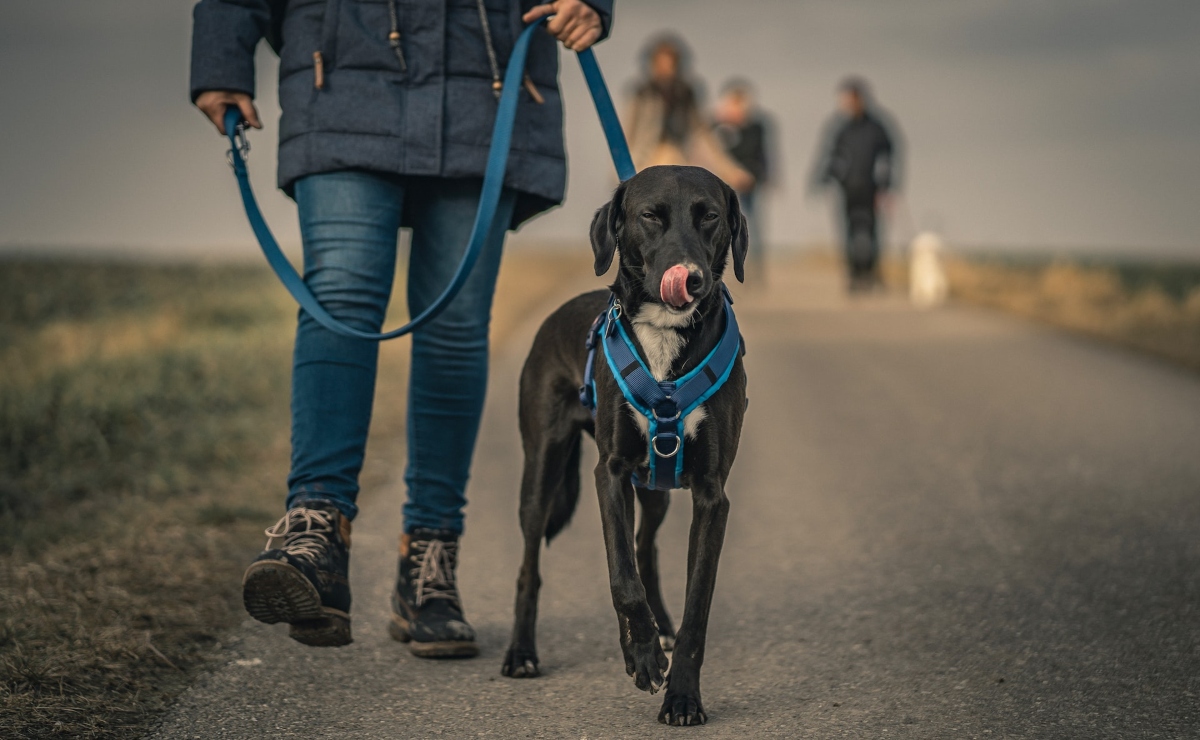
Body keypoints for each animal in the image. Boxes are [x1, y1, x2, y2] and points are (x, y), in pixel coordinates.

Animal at [499, 164, 744, 724]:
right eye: (650, 216)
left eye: (710, 216)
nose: (691, 277)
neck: (666, 334)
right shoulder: (608, 474)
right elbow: (621, 580)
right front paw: (645, 657)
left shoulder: (711, 495)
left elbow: (695, 603)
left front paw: (682, 694)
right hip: (542, 473)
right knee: (531, 567)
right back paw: (522, 653)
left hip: (653, 487)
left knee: (643, 546)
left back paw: (656, 632)